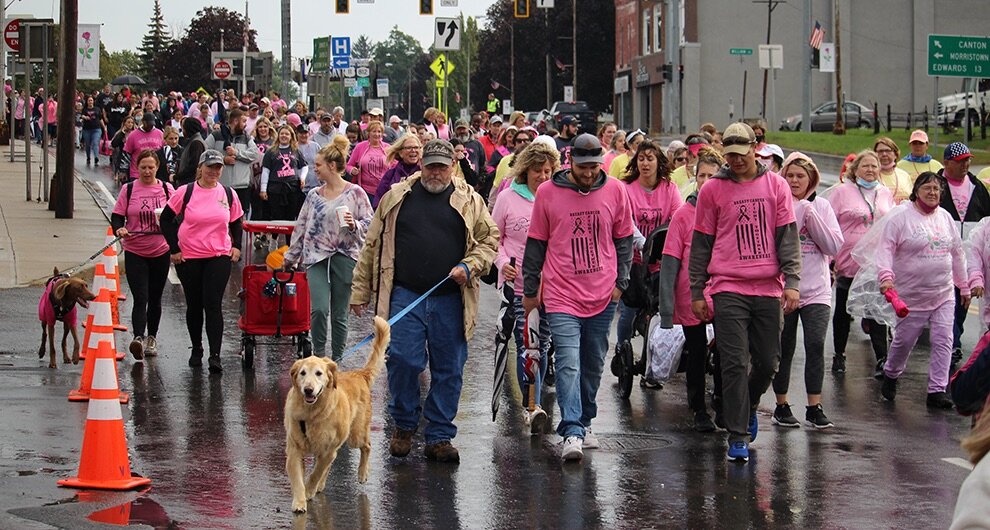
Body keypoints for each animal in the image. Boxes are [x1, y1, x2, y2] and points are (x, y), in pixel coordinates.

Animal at [282, 314, 392, 512]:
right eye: (302, 373)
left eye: (319, 373)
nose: (308, 390)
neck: (311, 414)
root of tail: (359, 374)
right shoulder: (295, 449)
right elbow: (298, 480)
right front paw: (300, 501)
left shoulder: (327, 449)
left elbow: (316, 472)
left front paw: (309, 490)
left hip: (356, 436)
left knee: (367, 446)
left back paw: (362, 473)